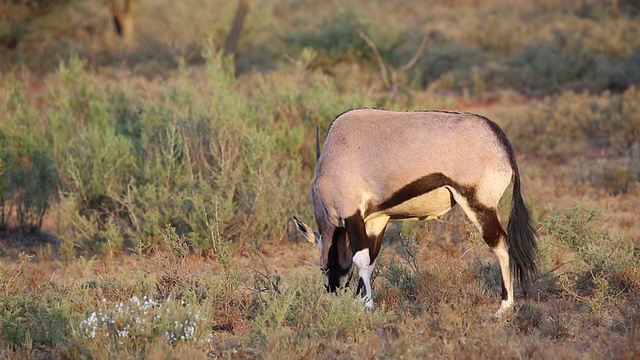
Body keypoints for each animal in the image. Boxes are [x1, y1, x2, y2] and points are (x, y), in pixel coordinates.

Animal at [296, 108, 540, 316]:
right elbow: (371, 259)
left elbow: (361, 259)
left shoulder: (351, 214)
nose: (332, 290)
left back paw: (504, 307)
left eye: (322, 267)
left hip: (478, 204)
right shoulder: (377, 220)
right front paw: (361, 302)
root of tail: (499, 138)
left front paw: (367, 306)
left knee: (502, 245)